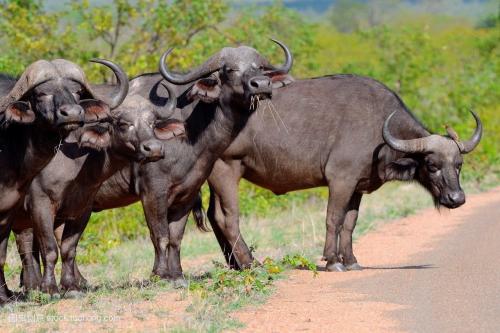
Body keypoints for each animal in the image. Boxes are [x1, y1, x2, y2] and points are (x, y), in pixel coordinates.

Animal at [0, 58, 129, 302]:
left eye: (76, 91)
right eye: (41, 93)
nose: (72, 113)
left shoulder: (80, 209)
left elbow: (67, 247)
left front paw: (70, 287)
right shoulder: (40, 205)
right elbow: (50, 248)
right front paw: (50, 289)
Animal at [205, 76, 482, 272]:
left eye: (458, 164)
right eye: (432, 165)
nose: (457, 198)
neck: (378, 129)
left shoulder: (357, 186)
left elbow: (350, 222)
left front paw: (350, 260)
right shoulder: (340, 181)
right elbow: (333, 218)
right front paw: (332, 261)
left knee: (214, 216)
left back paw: (234, 265)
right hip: (226, 170)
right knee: (228, 218)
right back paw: (251, 264)